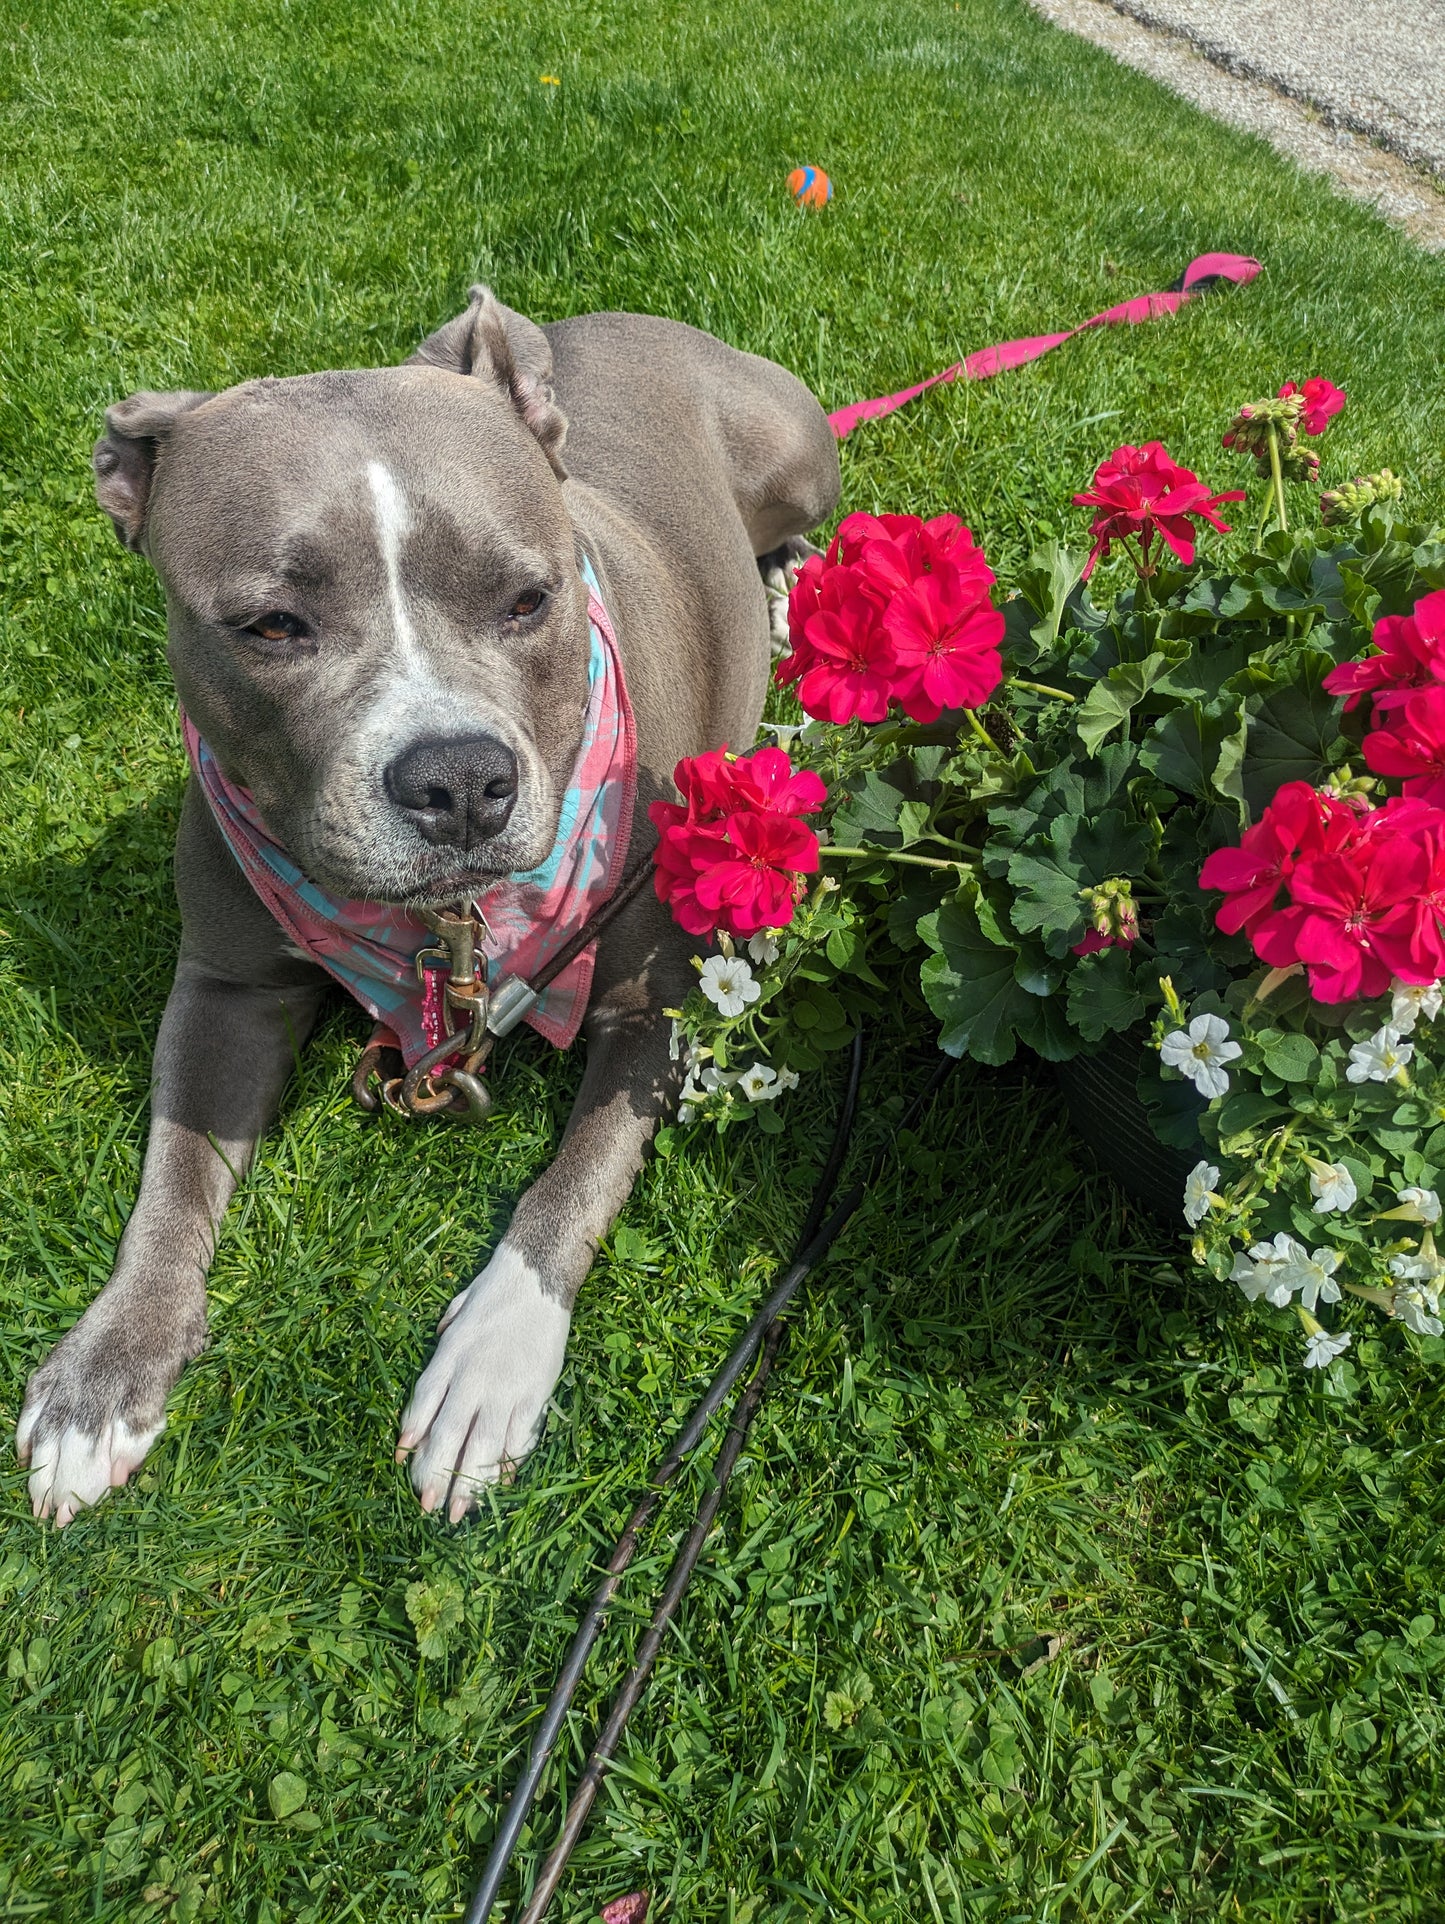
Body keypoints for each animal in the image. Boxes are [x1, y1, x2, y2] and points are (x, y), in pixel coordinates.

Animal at [14, 288, 835, 1516]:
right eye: (270, 625)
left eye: (529, 598)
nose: (457, 780)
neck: (452, 934)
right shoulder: (226, 987)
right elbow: (174, 1169)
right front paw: (107, 1366)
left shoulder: (654, 1006)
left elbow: (572, 1183)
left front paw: (492, 1359)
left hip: (797, 455)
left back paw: (790, 582)